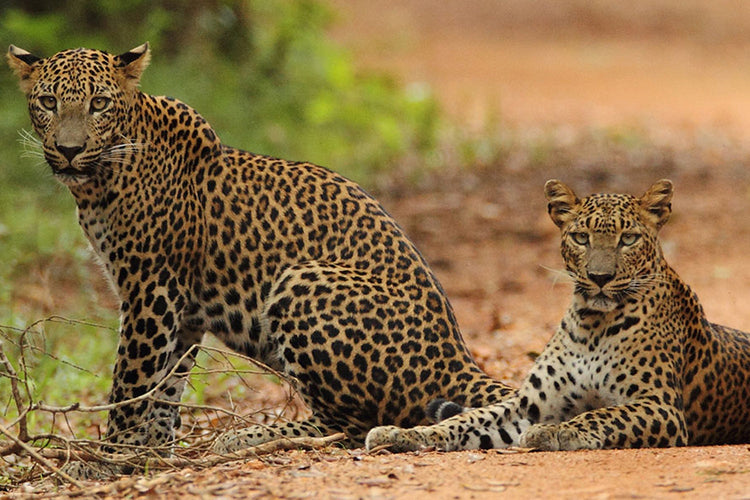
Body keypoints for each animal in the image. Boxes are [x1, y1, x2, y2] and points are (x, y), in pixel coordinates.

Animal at [5, 44, 516, 476]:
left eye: (98, 104)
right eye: (48, 102)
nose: (69, 149)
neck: (100, 181)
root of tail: (456, 357)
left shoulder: (151, 290)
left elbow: (131, 384)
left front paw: (104, 460)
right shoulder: (181, 311)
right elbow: (165, 387)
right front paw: (151, 454)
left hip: (302, 281)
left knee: (352, 424)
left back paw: (248, 436)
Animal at [368, 181, 750, 454]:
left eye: (628, 239)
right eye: (581, 237)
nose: (600, 277)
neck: (593, 324)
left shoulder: (660, 406)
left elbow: (601, 414)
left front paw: (556, 431)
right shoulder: (527, 405)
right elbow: (466, 420)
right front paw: (403, 434)